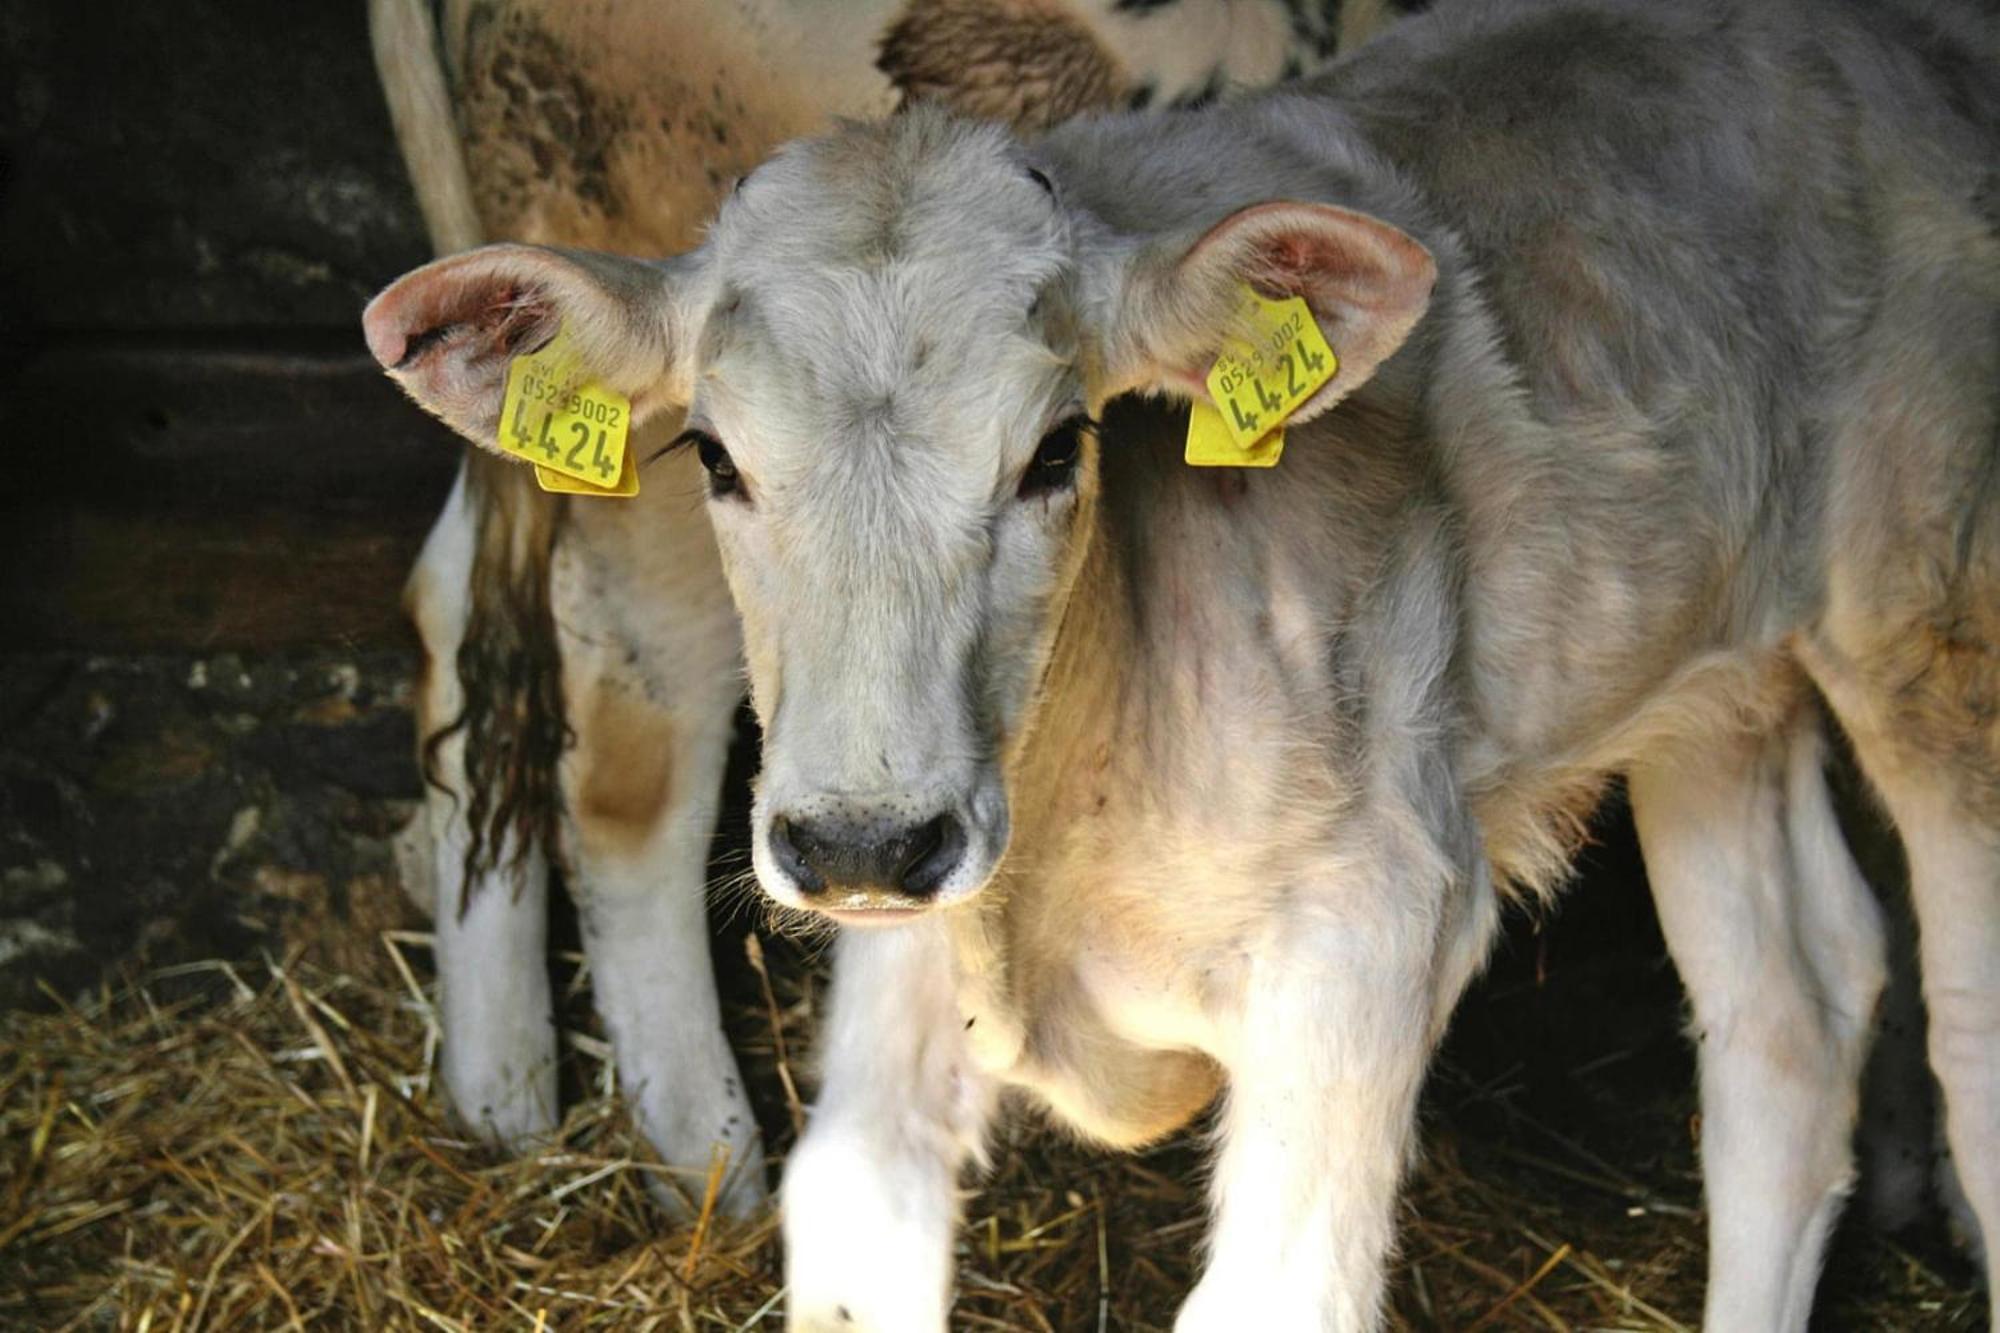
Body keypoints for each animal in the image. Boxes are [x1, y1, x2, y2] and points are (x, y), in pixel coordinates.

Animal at [364, 0, 2000, 1312]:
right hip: (1712, 688)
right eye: (712, 454)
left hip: (1932, 635)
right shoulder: (916, 948)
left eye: (1055, 450)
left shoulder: (1372, 931)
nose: (861, 842)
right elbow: (852, 1233)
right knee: (1787, 1020)